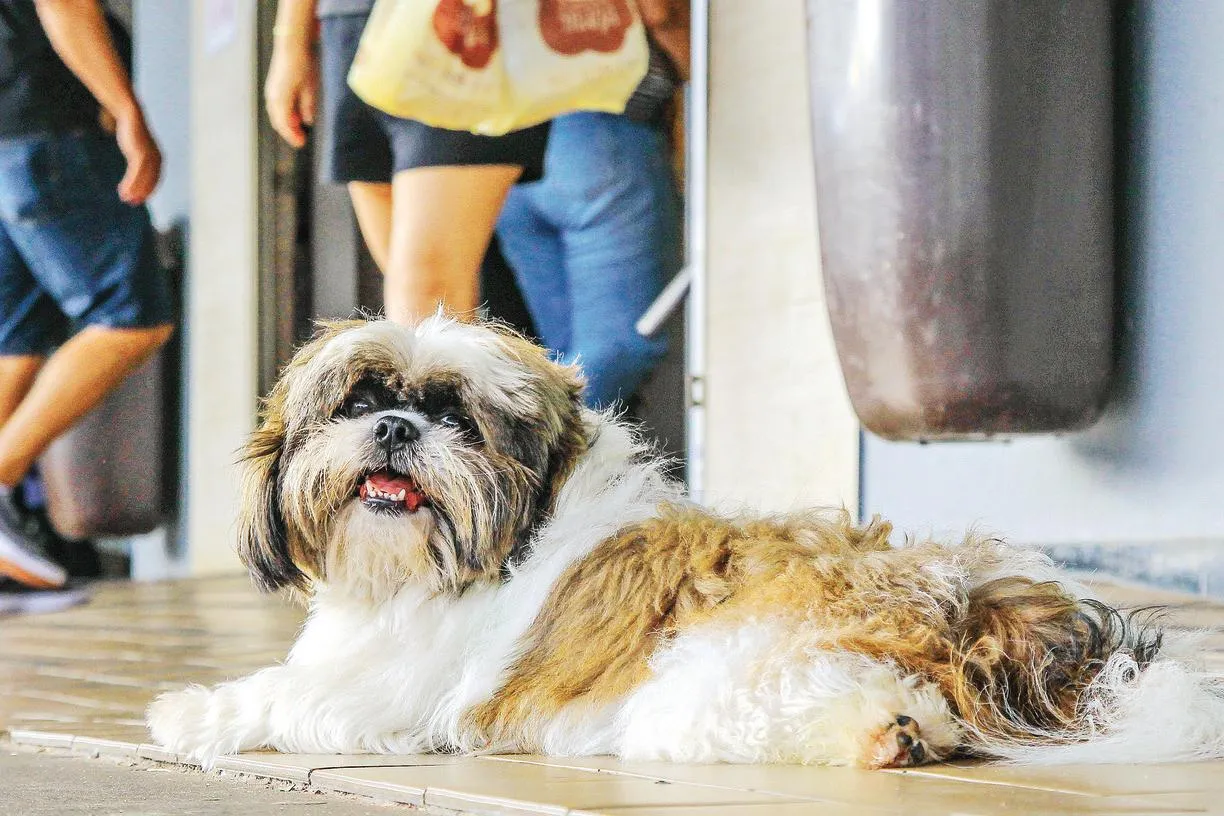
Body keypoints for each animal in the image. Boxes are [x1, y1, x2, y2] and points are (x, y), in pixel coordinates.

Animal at [150, 318, 1224, 768]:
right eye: (358, 402)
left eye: (456, 418)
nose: (396, 428)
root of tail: (971, 598)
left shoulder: (387, 690)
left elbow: (282, 694)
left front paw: (191, 712)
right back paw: (910, 733)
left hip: (705, 683)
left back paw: (887, 737)